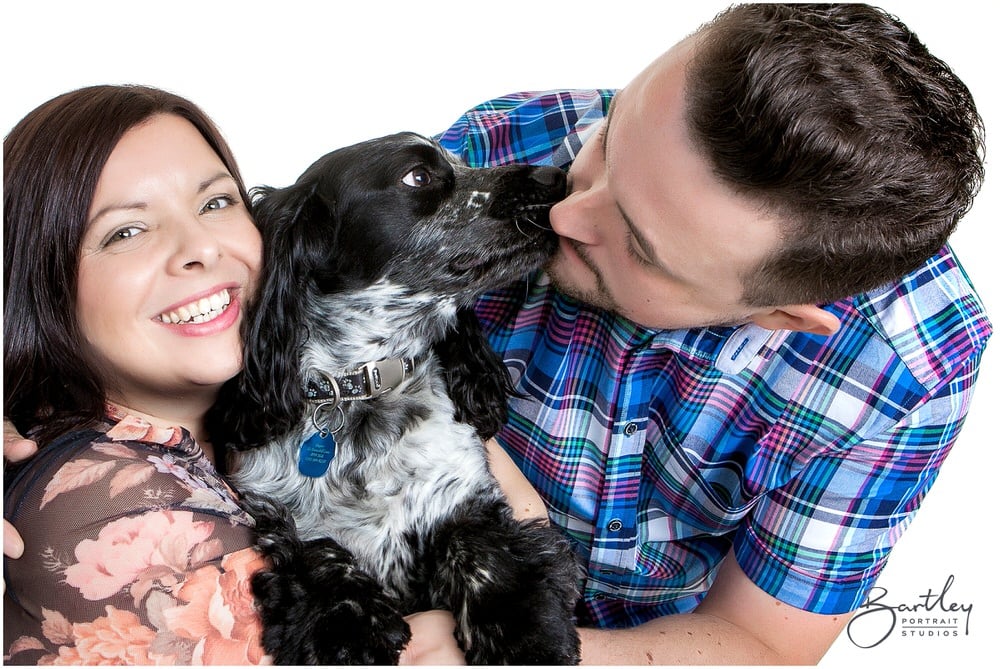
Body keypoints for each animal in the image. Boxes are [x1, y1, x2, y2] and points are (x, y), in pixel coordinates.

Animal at [213, 132, 580, 664]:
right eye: (418, 177)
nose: (555, 176)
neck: (364, 389)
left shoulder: (462, 496)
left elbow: (482, 551)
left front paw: (526, 635)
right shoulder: (280, 514)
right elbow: (319, 556)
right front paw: (346, 632)